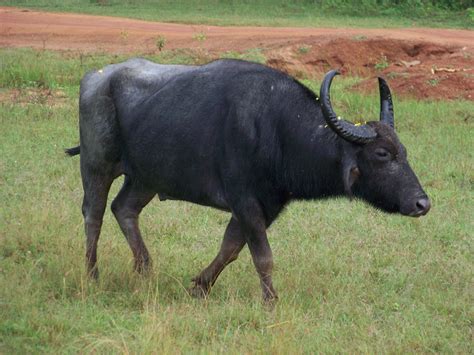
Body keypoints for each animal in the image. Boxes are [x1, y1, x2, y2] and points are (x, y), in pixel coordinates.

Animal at [66, 59, 430, 304]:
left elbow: (230, 248)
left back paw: (144, 268)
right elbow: (262, 256)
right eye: (382, 154)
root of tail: (96, 78)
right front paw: (271, 301)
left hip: (145, 178)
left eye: (404, 151)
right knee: (93, 214)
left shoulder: (265, 206)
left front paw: (199, 285)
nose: (422, 203)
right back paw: (92, 274)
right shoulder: (245, 201)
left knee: (123, 209)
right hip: (97, 165)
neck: (277, 130)